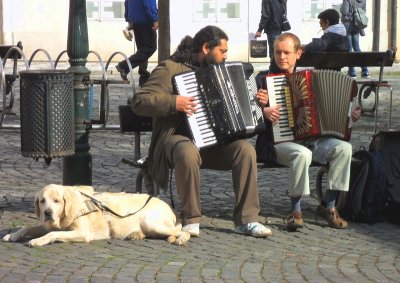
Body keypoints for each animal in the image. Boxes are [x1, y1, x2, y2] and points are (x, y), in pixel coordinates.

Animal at [2, 185, 191, 247]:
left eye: (56, 201)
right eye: (42, 201)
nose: (48, 212)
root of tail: (170, 207)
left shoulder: (83, 233)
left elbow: (54, 233)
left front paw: (38, 241)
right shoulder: (47, 224)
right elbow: (28, 227)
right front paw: (13, 235)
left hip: (151, 221)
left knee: (183, 231)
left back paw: (180, 239)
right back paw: (135, 235)